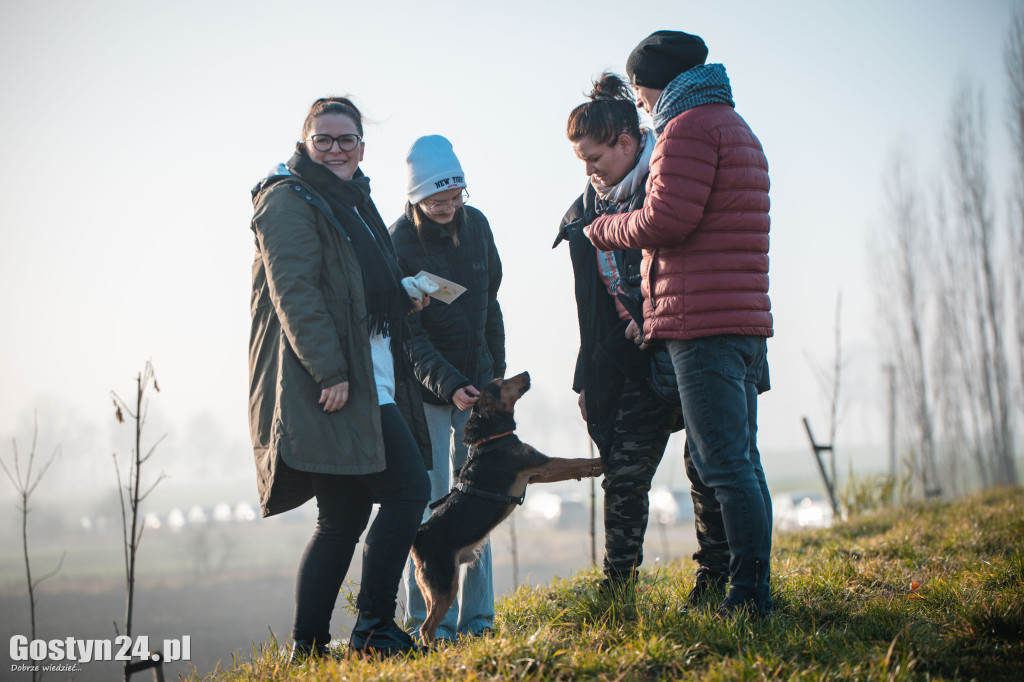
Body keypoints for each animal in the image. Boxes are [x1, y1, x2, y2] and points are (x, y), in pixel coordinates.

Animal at [407, 372, 598, 643]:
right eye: (502, 382)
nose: (526, 373)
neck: (492, 437)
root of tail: (419, 536)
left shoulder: (536, 475)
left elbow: (574, 467)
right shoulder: (540, 463)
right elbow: (576, 461)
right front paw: (601, 463)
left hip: (429, 587)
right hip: (445, 585)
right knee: (427, 628)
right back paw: (435, 649)